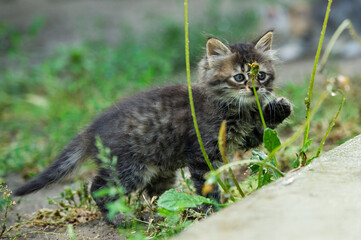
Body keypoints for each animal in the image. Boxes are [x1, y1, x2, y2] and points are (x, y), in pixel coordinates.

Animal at [13, 30, 292, 225]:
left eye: (261, 75)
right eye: (239, 77)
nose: (254, 89)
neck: (236, 109)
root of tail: (91, 129)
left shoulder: (242, 139)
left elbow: (262, 129)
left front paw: (279, 107)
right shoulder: (202, 152)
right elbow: (206, 185)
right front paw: (212, 209)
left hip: (161, 171)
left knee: (154, 194)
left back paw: (165, 214)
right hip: (129, 168)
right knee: (98, 188)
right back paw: (119, 219)